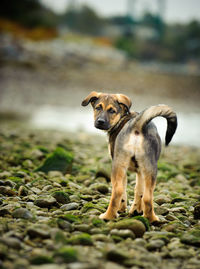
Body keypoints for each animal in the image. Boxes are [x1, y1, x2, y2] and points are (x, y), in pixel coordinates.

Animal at [80, 91, 177, 222]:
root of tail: (137, 126)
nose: (100, 121)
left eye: (112, 111)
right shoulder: (140, 171)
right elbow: (139, 192)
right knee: (147, 196)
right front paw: (136, 210)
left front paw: (122, 209)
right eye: (98, 108)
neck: (122, 118)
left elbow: (124, 193)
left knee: (117, 191)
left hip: (118, 165)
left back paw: (108, 216)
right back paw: (151, 218)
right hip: (150, 168)